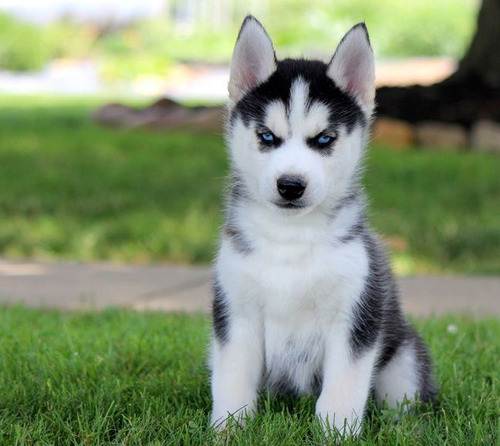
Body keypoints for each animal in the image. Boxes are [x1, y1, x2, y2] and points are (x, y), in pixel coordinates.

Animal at [209, 15, 436, 434]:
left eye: (324, 139)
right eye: (267, 136)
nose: (290, 185)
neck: (291, 237)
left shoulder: (355, 315)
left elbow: (344, 387)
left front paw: (338, 431)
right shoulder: (236, 312)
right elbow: (232, 380)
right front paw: (228, 429)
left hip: (405, 358)